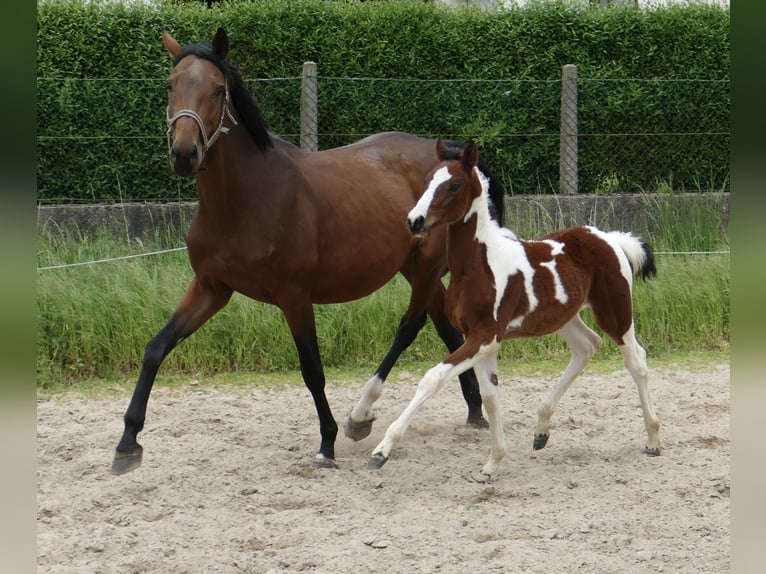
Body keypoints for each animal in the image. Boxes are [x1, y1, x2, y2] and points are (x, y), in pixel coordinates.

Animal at [109, 29, 504, 474]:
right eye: (170, 84)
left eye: (218, 89)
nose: (184, 154)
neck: (243, 200)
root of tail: (454, 160)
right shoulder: (212, 287)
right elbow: (155, 348)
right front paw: (127, 443)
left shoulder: (294, 295)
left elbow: (312, 369)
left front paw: (327, 443)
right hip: (419, 270)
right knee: (449, 332)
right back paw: (472, 410)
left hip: (424, 269)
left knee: (409, 326)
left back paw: (360, 415)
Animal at [368, 141, 664, 482]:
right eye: (428, 179)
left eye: (455, 185)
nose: (414, 221)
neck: (478, 266)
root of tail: (611, 238)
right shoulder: (480, 340)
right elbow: (490, 397)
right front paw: (492, 464)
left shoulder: (485, 337)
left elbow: (433, 378)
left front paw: (381, 451)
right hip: (564, 317)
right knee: (587, 346)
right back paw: (541, 430)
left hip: (615, 313)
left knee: (637, 361)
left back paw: (653, 440)